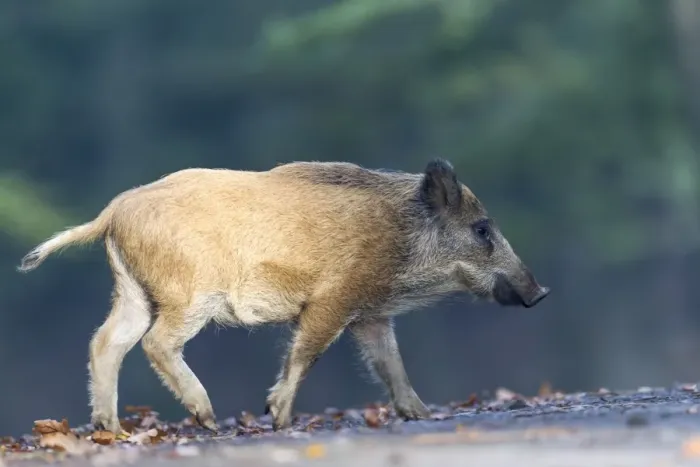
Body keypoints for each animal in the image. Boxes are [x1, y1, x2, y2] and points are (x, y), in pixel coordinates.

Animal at [17, 158, 549, 433]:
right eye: (482, 230)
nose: (541, 292)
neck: (401, 240)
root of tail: (111, 213)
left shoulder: (369, 314)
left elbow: (389, 361)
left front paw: (418, 415)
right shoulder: (333, 299)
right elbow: (305, 353)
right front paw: (279, 419)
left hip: (133, 291)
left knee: (105, 343)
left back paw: (111, 428)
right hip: (186, 294)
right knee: (155, 344)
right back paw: (208, 420)